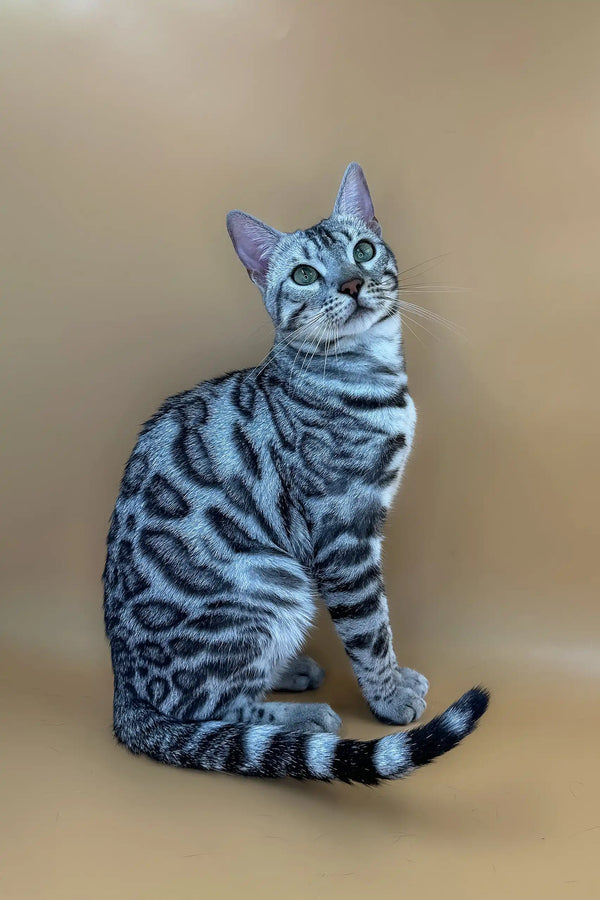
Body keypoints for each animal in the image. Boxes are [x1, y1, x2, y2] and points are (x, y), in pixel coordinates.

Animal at [103, 165, 488, 784]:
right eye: (305, 274)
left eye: (363, 250)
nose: (352, 284)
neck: (370, 374)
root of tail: (122, 694)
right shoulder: (344, 531)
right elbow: (370, 626)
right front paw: (388, 696)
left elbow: (380, 624)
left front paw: (393, 680)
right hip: (276, 586)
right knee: (211, 709)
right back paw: (304, 719)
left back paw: (290, 670)